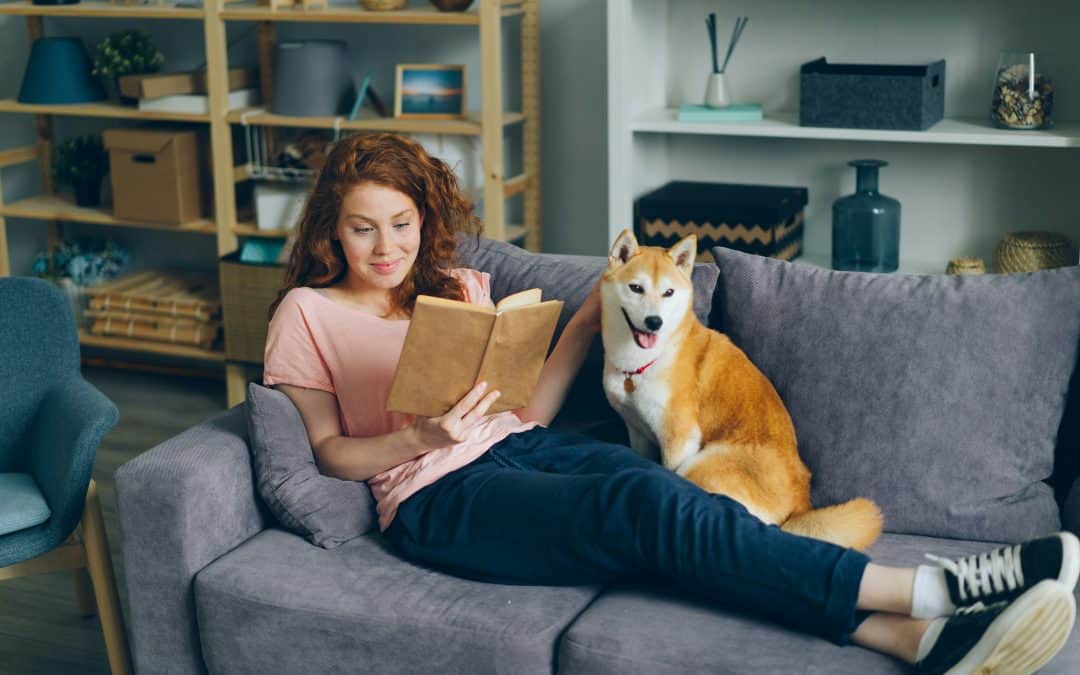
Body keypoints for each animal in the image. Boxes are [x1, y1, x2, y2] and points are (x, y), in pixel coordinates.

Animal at [604, 228, 881, 550]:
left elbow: (667, 471)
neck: (641, 364)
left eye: (668, 293)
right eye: (636, 288)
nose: (654, 322)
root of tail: (800, 506)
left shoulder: (679, 436)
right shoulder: (637, 431)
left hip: (701, 465)